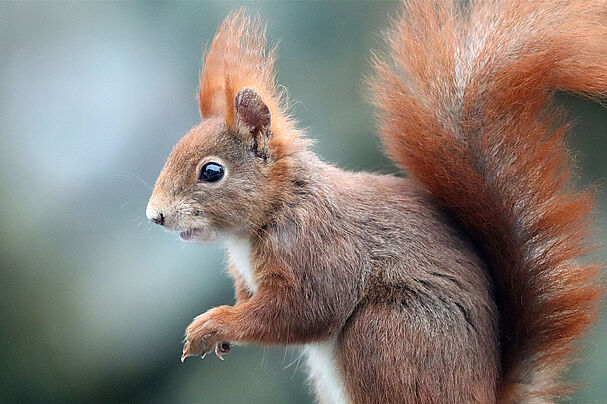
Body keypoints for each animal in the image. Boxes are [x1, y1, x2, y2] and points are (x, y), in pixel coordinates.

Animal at [145, 1, 604, 402]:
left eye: (212, 172)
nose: (156, 216)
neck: (273, 211)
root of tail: (484, 392)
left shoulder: (319, 249)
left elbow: (306, 311)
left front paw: (213, 325)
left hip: (385, 335)